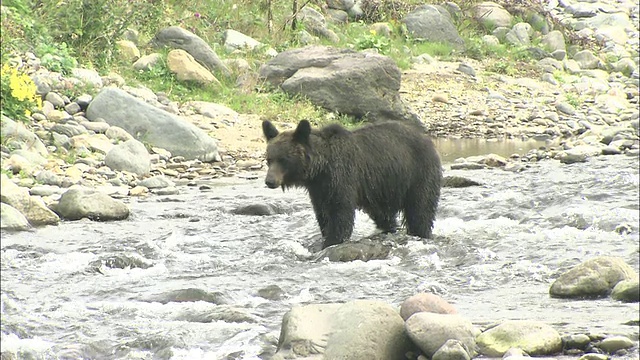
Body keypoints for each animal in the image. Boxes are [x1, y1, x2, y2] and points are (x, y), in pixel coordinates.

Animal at [260, 119, 440, 249]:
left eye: (283, 159)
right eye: (269, 159)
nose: (269, 181)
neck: (320, 169)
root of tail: (427, 139)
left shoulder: (342, 178)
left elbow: (340, 214)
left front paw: (331, 241)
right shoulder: (319, 189)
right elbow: (323, 214)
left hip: (418, 174)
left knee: (420, 210)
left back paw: (420, 232)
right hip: (381, 190)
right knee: (384, 215)